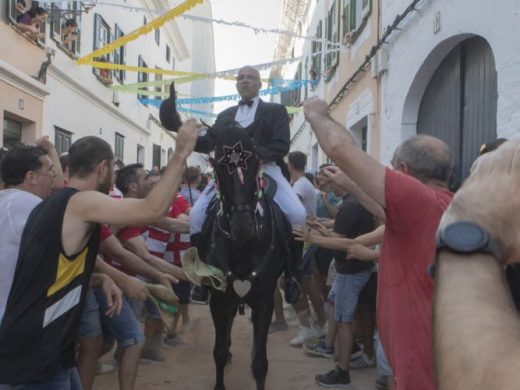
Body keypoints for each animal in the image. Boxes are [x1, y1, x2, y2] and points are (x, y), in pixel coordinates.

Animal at [196, 122, 290, 390]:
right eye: (218, 164)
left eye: (256, 158)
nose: (243, 228)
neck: (242, 247)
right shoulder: (219, 299)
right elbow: (218, 351)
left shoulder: (264, 302)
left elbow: (260, 362)